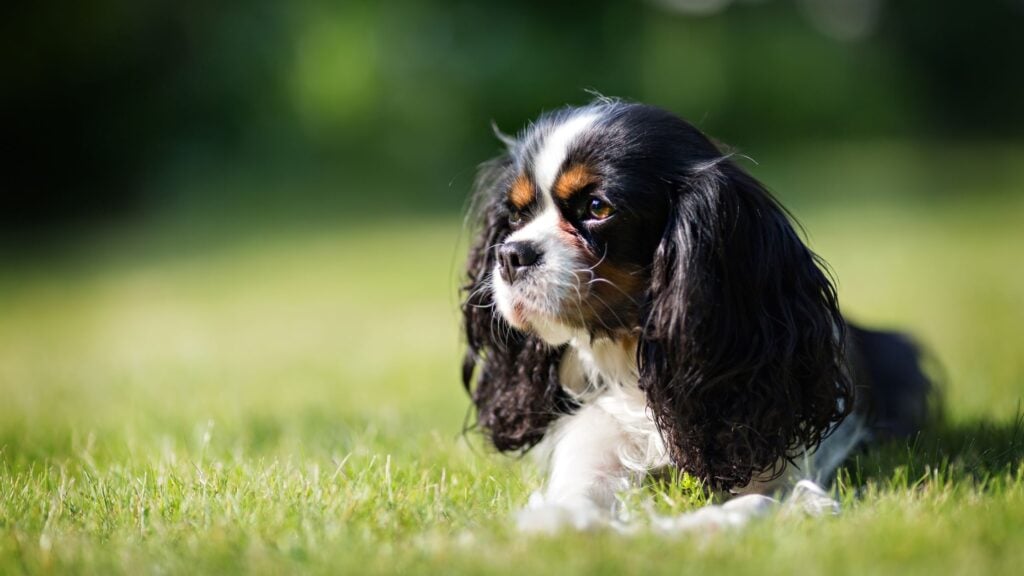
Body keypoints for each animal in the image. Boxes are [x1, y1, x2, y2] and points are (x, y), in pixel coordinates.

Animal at [460, 97, 933, 528]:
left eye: (597, 208)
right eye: (515, 216)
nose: (510, 255)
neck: (636, 356)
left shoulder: (777, 464)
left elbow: (752, 506)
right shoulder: (592, 447)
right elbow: (574, 508)